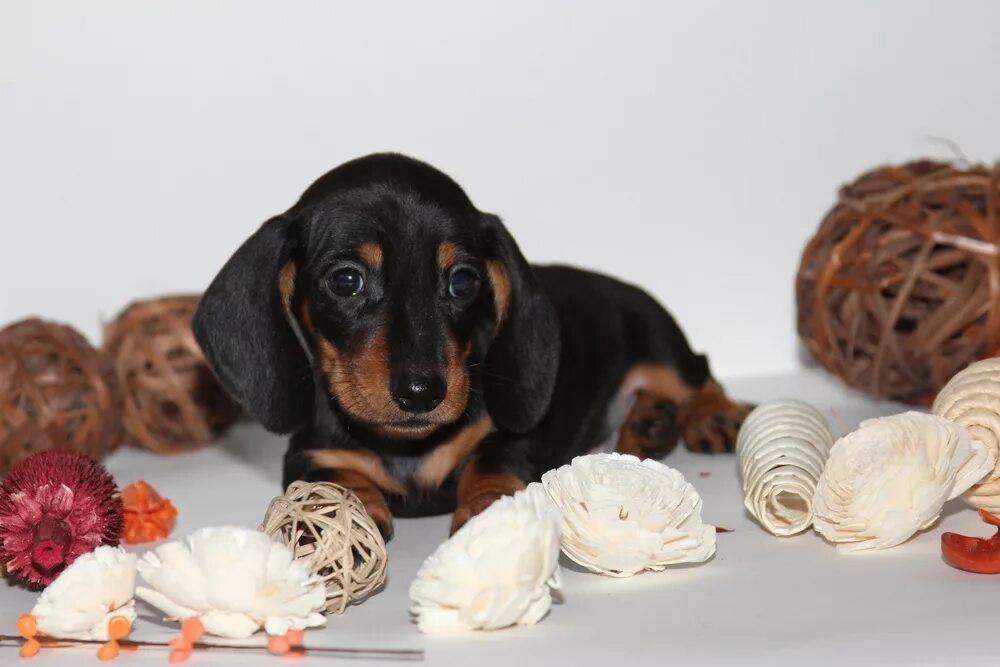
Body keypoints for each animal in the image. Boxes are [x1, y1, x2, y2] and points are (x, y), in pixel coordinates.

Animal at [193, 153, 752, 536]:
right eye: (346, 280)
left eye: (462, 281)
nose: (422, 393)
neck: (405, 447)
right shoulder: (308, 453)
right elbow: (336, 474)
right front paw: (349, 507)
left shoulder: (510, 437)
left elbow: (491, 463)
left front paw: (490, 507)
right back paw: (649, 425)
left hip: (659, 344)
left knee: (700, 373)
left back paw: (708, 416)